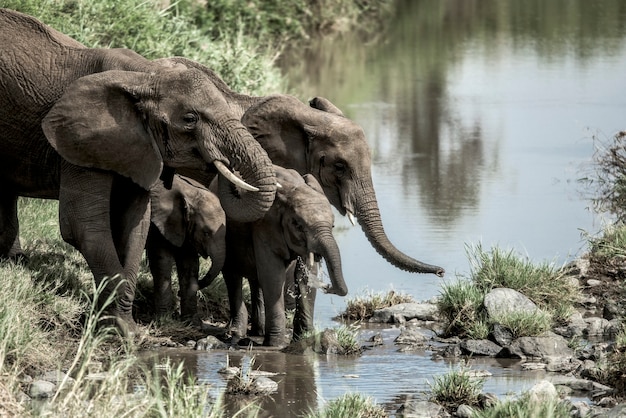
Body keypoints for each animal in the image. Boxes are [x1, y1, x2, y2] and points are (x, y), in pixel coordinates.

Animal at [146, 175, 224, 322]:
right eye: (206, 233)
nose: (178, 293)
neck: (191, 193)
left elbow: (190, 265)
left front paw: (192, 322)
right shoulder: (158, 224)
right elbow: (162, 261)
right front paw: (164, 320)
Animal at [218, 166, 346, 346]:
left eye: (333, 225)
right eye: (298, 225)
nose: (328, 287)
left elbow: (305, 277)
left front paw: (305, 337)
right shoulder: (265, 227)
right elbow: (273, 276)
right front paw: (276, 344)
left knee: (256, 279)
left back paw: (258, 332)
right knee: (233, 277)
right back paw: (236, 334)